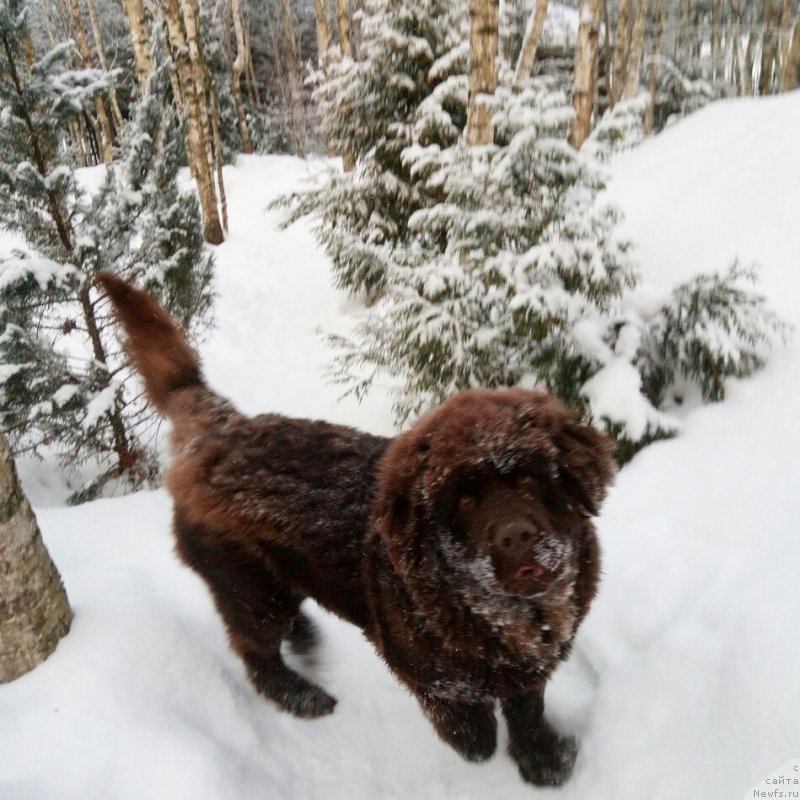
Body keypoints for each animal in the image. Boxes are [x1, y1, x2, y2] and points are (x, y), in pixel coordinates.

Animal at [97, 272, 616, 784]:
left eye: (529, 477)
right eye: (465, 499)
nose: (515, 536)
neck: (507, 611)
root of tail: (217, 428)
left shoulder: (533, 662)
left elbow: (528, 708)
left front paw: (543, 759)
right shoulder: (424, 671)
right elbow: (471, 728)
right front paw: (480, 741)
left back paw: (304, 637)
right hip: (251, 588)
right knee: (256, 654)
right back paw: (301, 697)